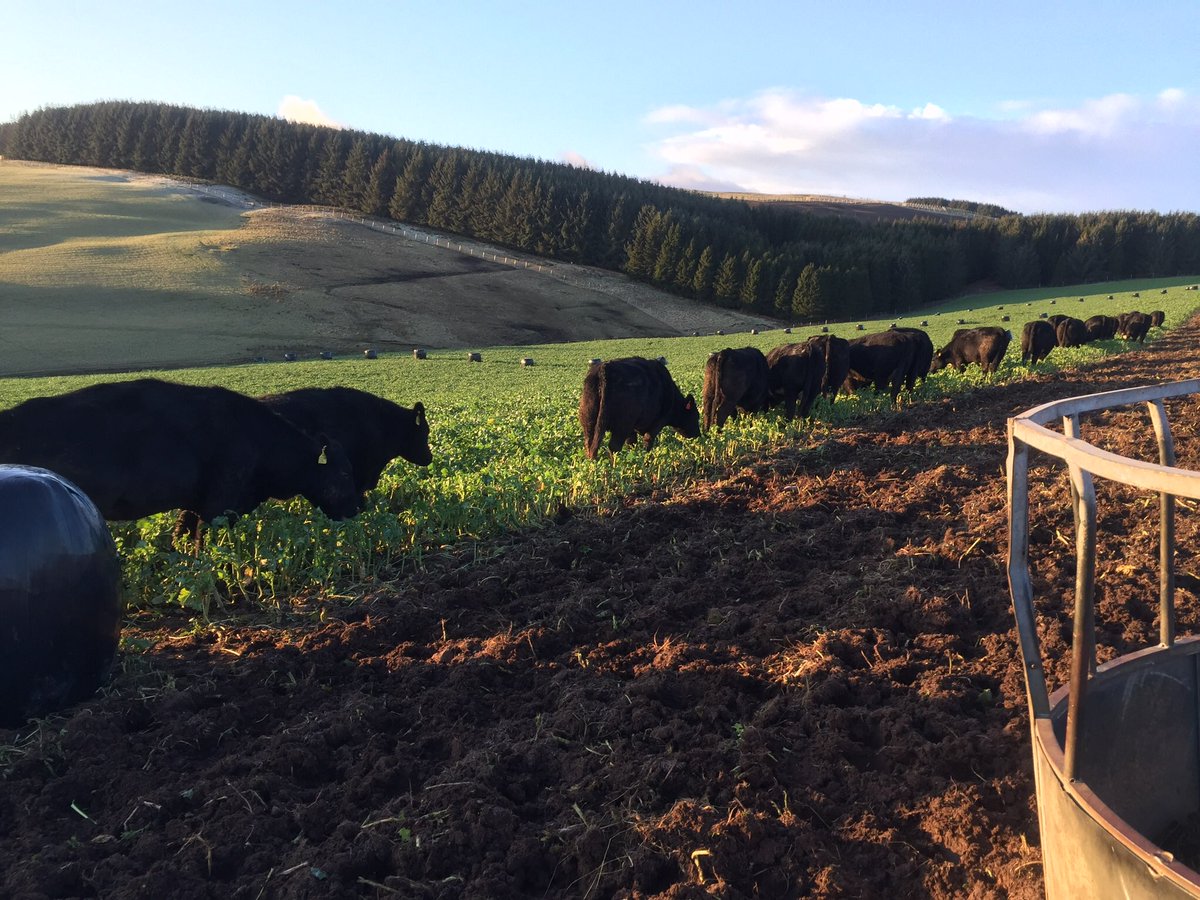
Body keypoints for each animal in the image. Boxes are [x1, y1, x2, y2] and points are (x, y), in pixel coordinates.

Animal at [0, 379, 361, 545]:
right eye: (345, 473)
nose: (361, 506)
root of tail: (11, 418)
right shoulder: (219, 505)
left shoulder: (194, 504)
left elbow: (181, 540)